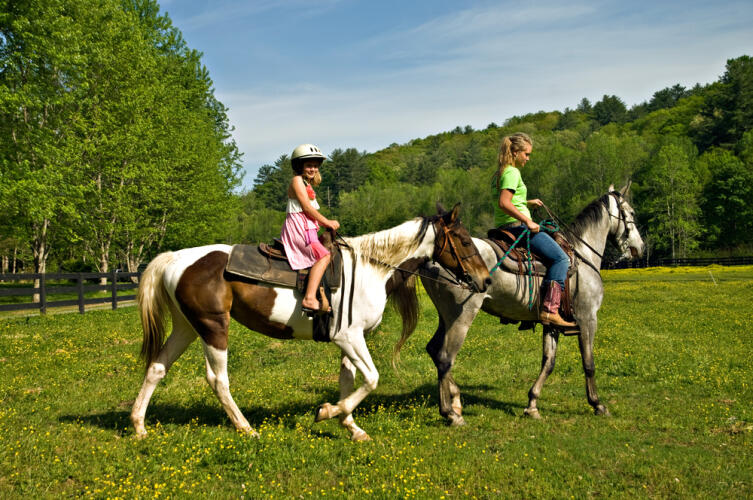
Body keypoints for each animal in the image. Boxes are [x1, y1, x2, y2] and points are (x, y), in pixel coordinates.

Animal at [131, 203, 490, 442]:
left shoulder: (349, 340)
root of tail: (176, 258)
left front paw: (350, 426)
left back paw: (139, 425)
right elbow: (371, 379)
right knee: (217, 379)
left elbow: (349, 380)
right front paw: (328, 412)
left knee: (157, 368)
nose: (485, 280)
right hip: (213, 327)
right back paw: (246, 428)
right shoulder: (350, 337)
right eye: (464, 241)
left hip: (186, 327)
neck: (372, 268)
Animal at [414, 186, 644, 424]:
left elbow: (549, 362)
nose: (640, 248)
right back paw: (451, 412)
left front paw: (532, 404)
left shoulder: (552, 323)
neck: (582, 257)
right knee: (444, 357)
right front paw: (597, 404)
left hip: (446, 317)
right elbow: (588, 363)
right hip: (461, 317)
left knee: (434, 350)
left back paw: (456, 400)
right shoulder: (588, 318)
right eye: (632, 213)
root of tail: (431, 259)